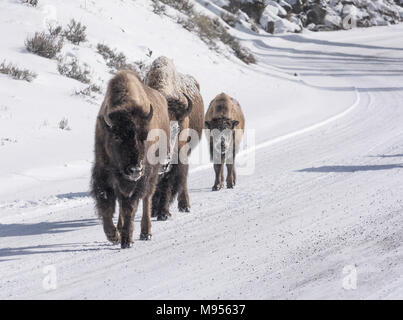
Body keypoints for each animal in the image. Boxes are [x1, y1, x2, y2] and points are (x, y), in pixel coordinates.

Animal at [90, 70, 171, 249]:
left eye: (144, 137)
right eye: (117, 136)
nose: (135, 169)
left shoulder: (138, 181)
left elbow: (130, 207)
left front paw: (126, 240)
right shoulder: (103, 173)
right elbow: (107, 204)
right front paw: (114, 235)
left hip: (152, 174)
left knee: (147, 199)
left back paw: (145, 233)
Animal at [144, 57, 205, 220]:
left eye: (176, 130)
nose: (164, 162)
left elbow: (168, 183)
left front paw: (163, 213)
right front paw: (154, 211)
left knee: (182, 180)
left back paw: (185, 206)